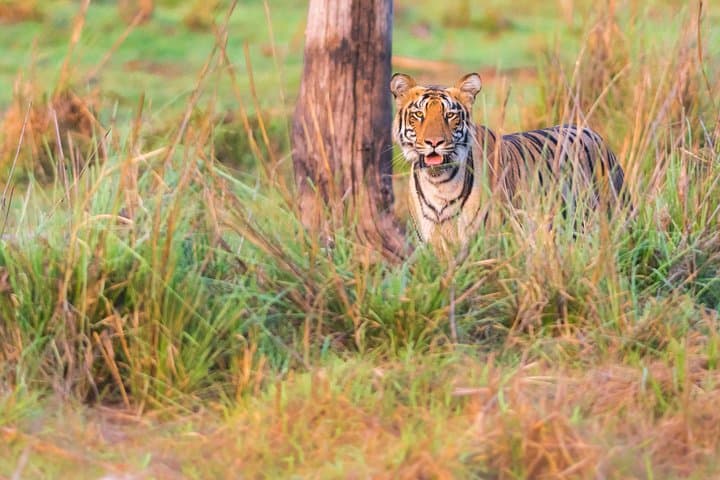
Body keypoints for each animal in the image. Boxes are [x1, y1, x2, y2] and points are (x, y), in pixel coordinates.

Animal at [390, 72, 627, 254]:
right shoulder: (433, 244)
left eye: (450, 115)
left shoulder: (487, 242)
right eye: (418, 114)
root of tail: (591, 131)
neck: (439, 184)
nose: (434, 142)